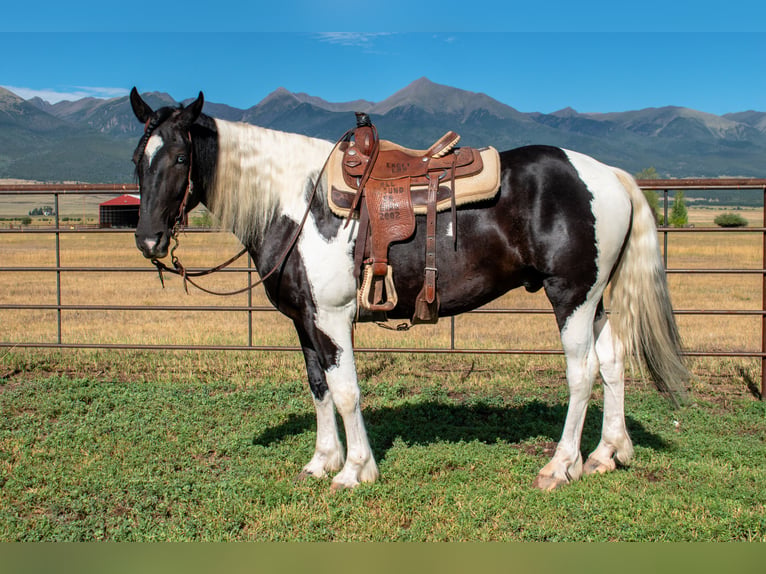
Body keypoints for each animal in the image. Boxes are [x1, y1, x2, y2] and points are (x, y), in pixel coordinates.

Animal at [129, 88, 688, 491]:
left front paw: (355, 471)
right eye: (138, 159)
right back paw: (606, 454)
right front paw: (322, 462)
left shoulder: (333, 317)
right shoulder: (306, 320)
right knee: (612, 360)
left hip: (570, 295)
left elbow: (346, 391)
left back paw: (561, 465)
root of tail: (608, 175)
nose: (149, 240)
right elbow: (318, 387)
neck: (300, 203)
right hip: (595, 299)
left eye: (179, 158)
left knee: (583, 371)